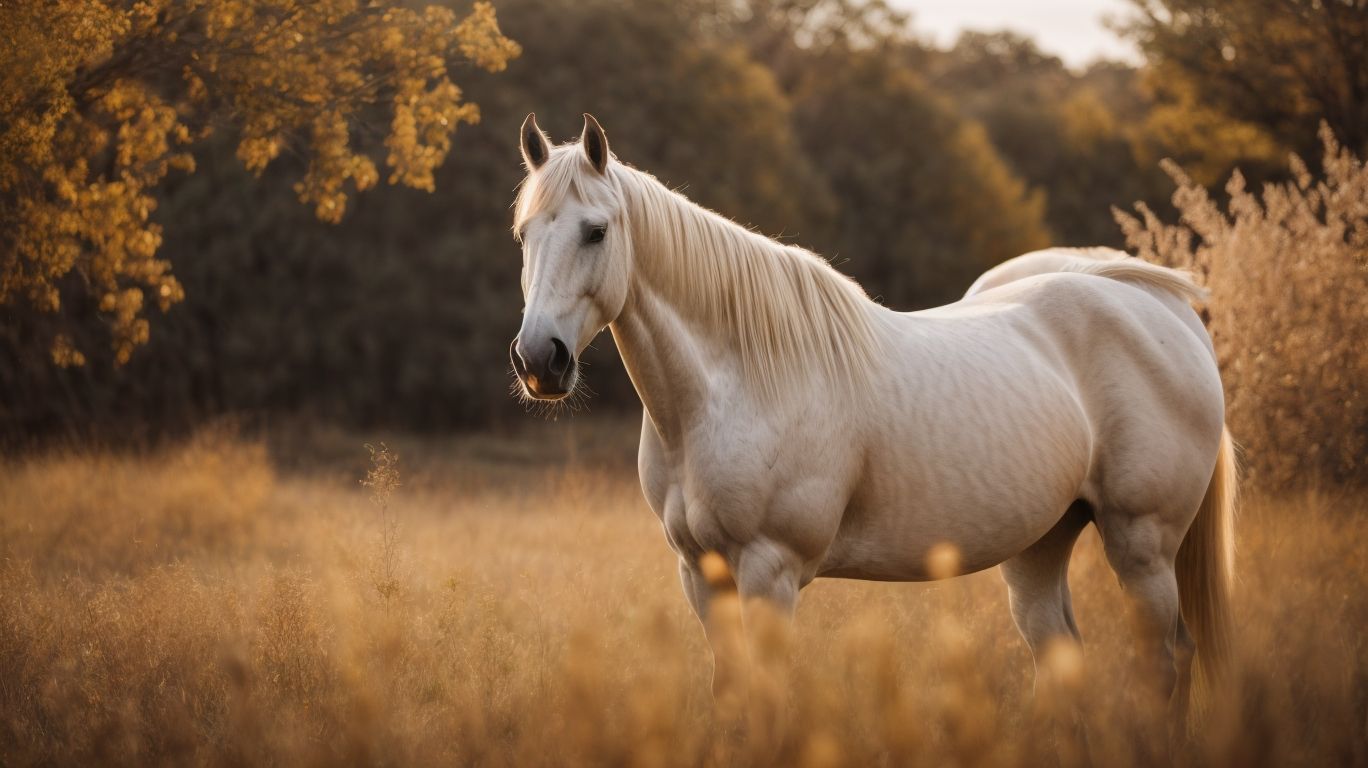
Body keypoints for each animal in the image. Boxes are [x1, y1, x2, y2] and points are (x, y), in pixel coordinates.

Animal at [507, 113, 1235, 714]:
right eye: (523, 234)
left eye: (596, 231)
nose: (539, 359)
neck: (732, 386)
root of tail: (1163, 306)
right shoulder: (700, 573)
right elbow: (731, 696)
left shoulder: (770, 571)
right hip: (1041, 545)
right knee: (1062, 658)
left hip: (1142, 543)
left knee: (1167, 662)